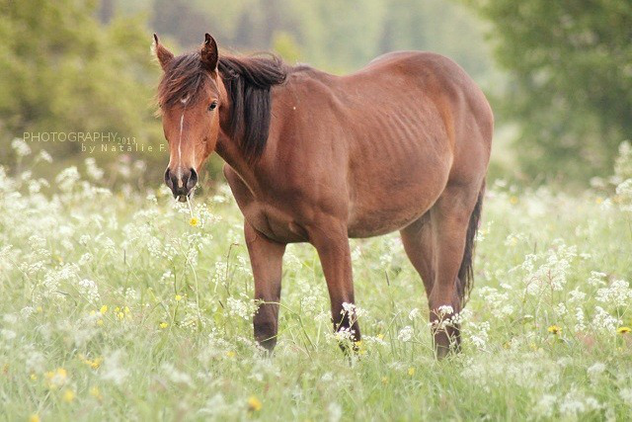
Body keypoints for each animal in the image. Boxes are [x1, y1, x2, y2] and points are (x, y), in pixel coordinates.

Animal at [153, 33, 494, 358]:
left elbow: (345, 322)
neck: (278, 140)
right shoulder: (263, 238)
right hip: (417, 225)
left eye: (212, 104)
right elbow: (265, 324)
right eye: (164, 107)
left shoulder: (332, 236)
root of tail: (468, 87)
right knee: (440, 298)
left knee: (444, 299)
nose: (181, 177)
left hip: (452, 212)